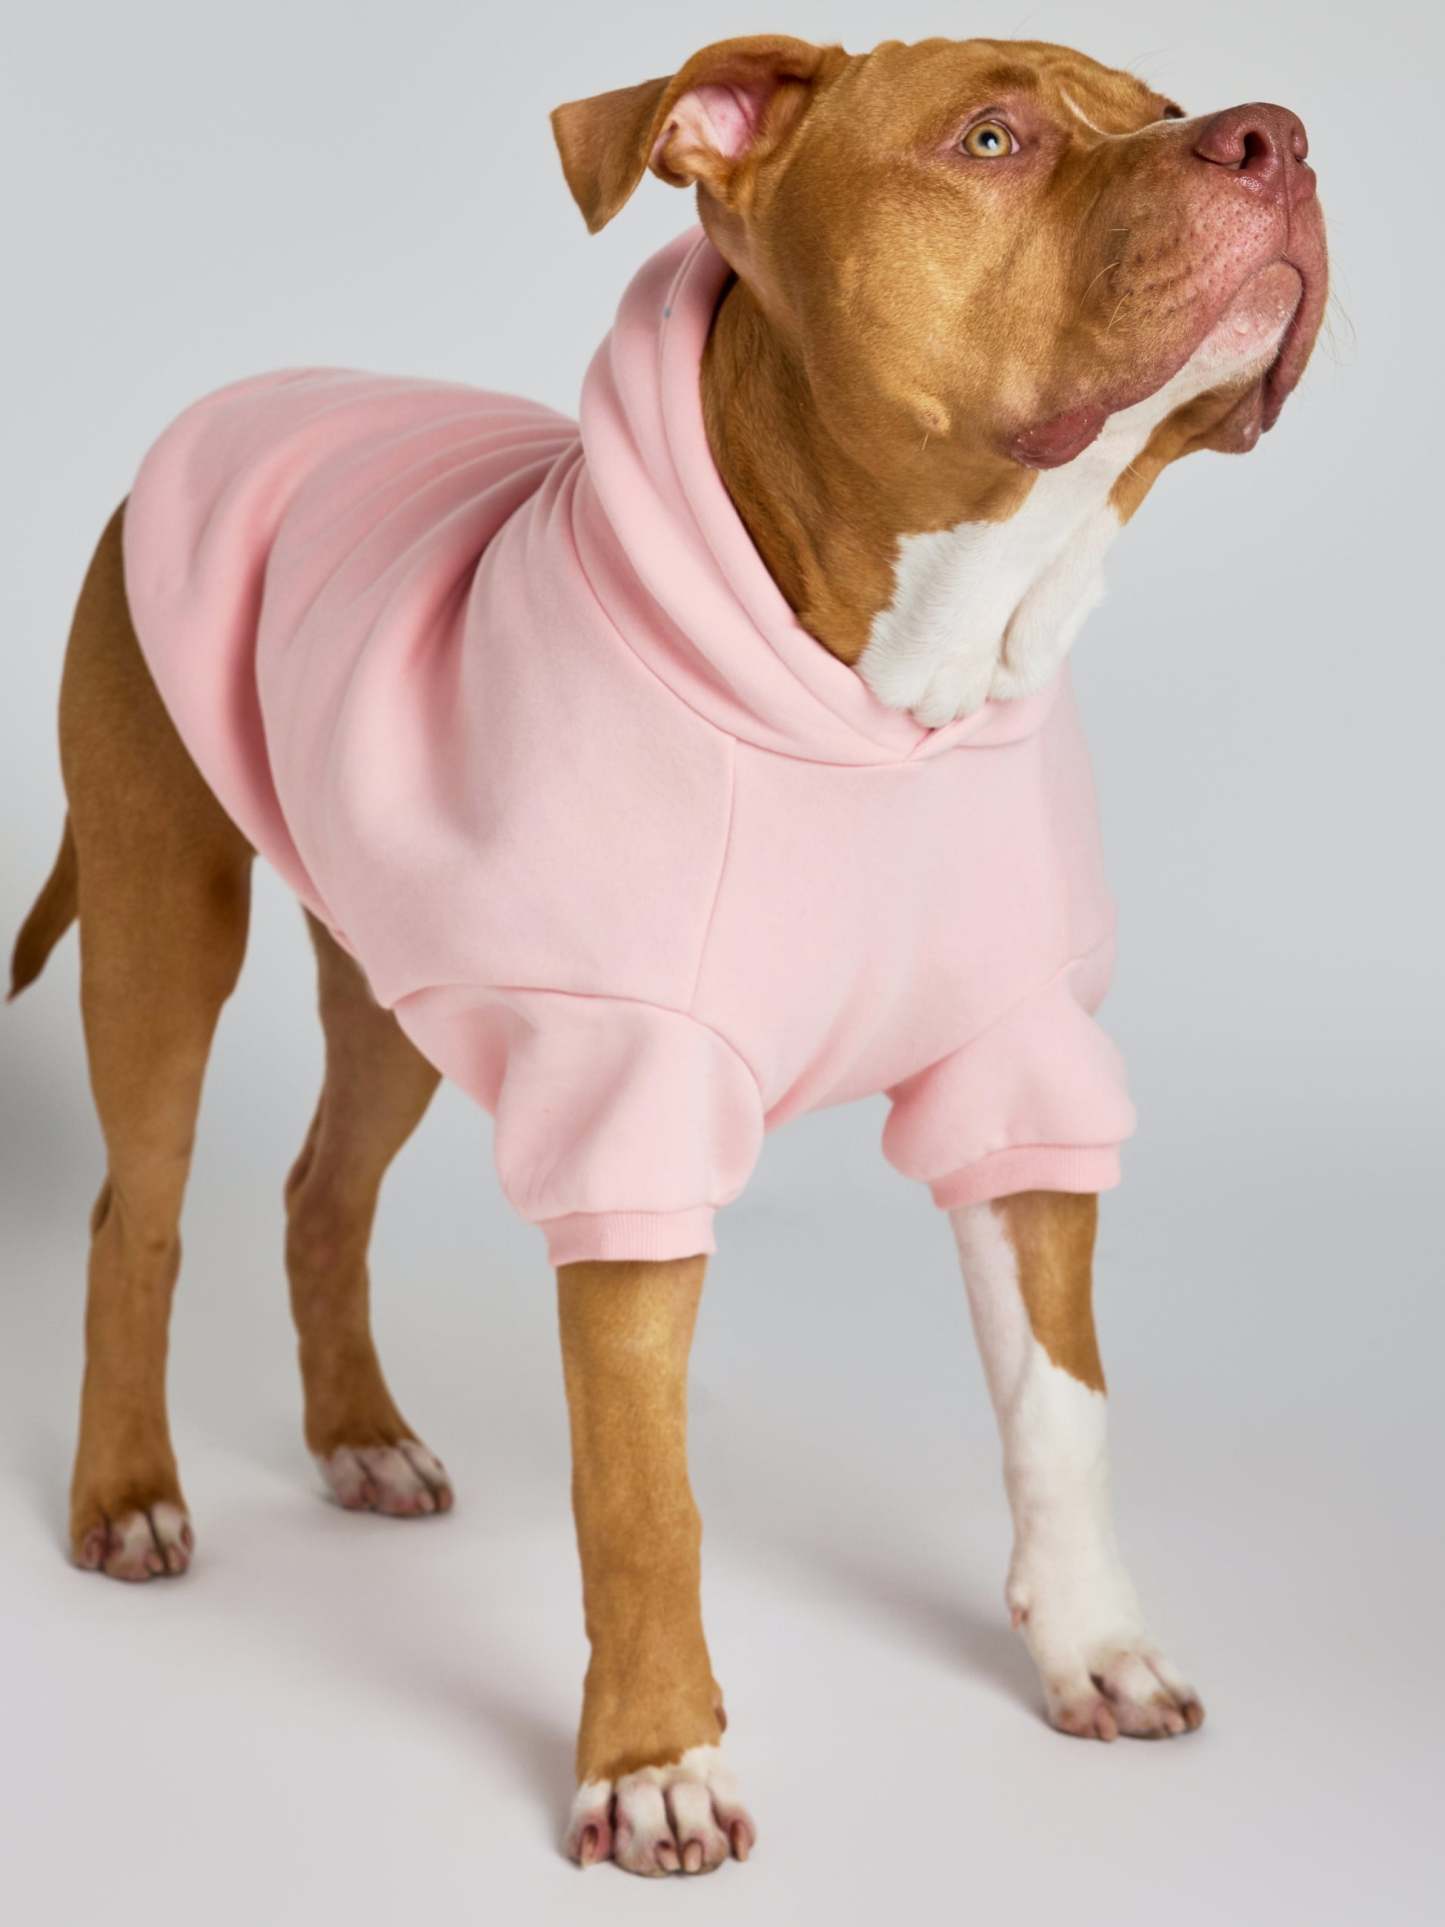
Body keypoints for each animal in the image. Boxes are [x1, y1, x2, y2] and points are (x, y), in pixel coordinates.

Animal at [11, 33, 1326, 1878]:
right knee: (138, 1209)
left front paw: (1092, 1645)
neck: (901, 694)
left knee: (323, 1189)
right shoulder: (632, 1108)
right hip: (160, 914)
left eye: (1161, 103)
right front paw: (654, 1766)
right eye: (993, 138)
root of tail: (227, 412)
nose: (1276, 139)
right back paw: (128, 1489)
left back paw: (359, 1438)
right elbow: (643, 1494)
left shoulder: (1022, 1075)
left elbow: (1061, 1409)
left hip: (404, 974)